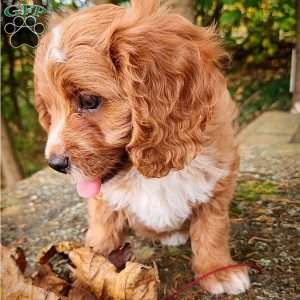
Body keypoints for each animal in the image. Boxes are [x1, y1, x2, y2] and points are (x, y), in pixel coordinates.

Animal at [34, 0, 250, 296]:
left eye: (89, 101)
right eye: (49, 110)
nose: (54, 164)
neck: (143, 170)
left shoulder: (217, 179)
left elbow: (212, 228)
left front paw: (219, 270)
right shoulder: (103, 204)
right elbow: (102, 236)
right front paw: (88, 275)